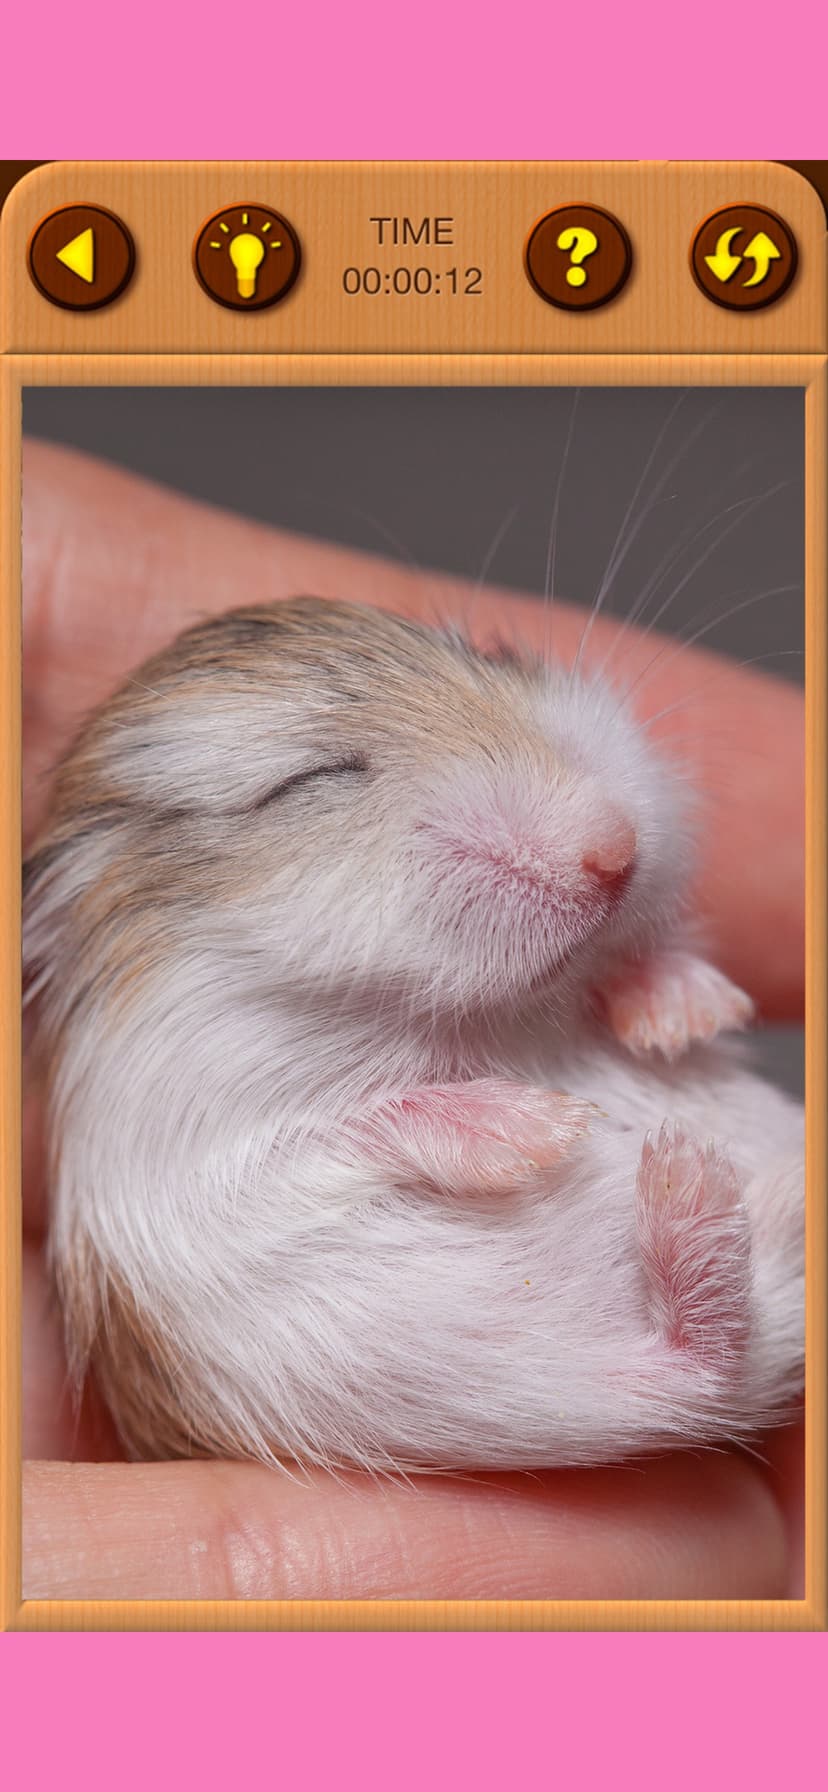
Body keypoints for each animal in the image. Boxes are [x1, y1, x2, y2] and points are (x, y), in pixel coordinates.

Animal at [23, 596, 804, 1473]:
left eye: (491, 656)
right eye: (310, 780)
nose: (615, 849)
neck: (478, 1016)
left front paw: (688, 1012)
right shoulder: (195, 1147)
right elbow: (364, 1118)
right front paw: (550, 1128)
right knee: (696, 1365)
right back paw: (687, 1179)